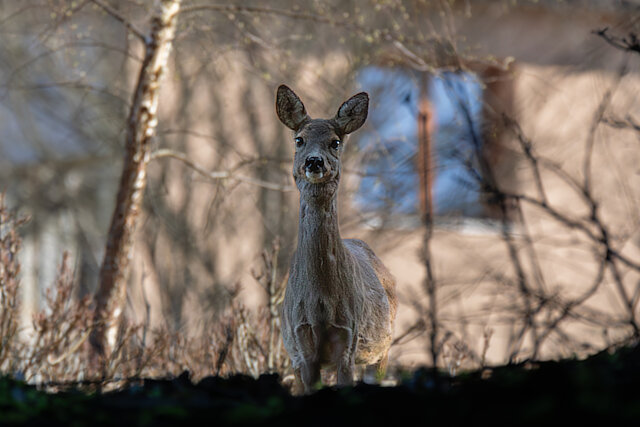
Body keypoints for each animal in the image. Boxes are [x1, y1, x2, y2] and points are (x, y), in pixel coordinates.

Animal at [276, 85, 397, 394]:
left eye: (335, 142)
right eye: (299, 139)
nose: (314, 161)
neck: (321, 303)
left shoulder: (348, 339)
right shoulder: (301, 342)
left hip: (383, 347)